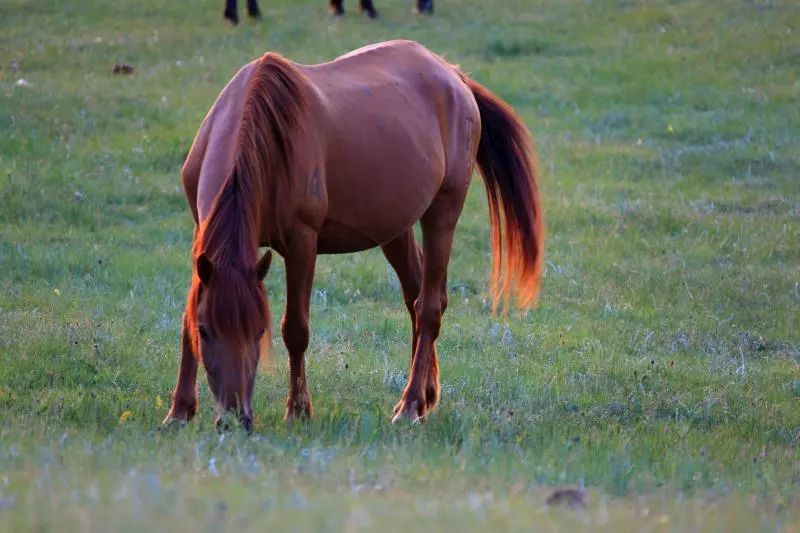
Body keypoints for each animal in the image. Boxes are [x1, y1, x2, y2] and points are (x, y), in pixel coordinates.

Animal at [166, 39, 548, 430]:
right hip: (395, 228)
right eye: (206, 330)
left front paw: (297, 410)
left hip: (443, 211)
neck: (262, 134)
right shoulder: (200, 234)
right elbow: (186, 318)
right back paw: (425, 397)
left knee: (427, 308)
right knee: (419, 297)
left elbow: (295, 329)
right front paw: (179, 411)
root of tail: (453, 75)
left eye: (259, 331)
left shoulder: (302, 242)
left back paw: (409, 404)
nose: (234, 419)